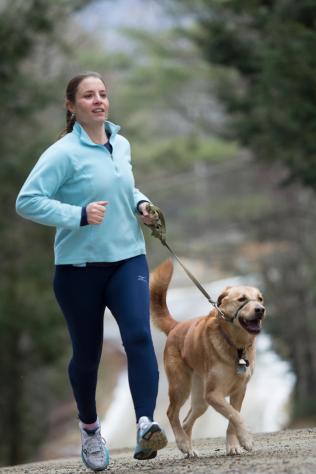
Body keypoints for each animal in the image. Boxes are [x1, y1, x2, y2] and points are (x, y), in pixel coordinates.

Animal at [149, 262, 266, 458]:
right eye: (241, 299)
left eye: (260, 299)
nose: (260, 310)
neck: (236, 345)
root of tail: (176, 326)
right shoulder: (213, 394)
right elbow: (235, 416)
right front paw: (246, 439)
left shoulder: (239, 391)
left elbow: (232, 418)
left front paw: (233, 446)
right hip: (181, 387)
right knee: (172, 413)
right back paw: (182, 443)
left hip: (200, 401)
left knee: (186, 421)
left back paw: (189, 449)